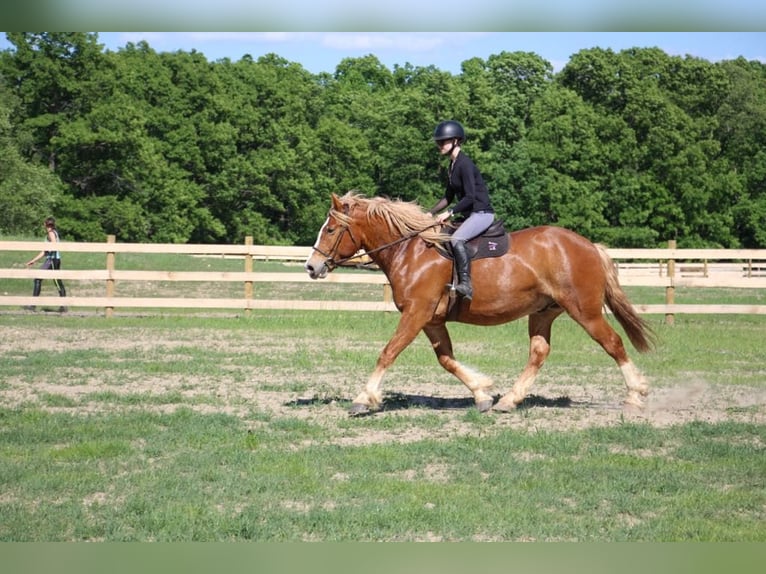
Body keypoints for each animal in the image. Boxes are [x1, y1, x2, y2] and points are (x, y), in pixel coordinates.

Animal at [304, 191, 655, 416]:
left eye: (331, 229)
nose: (311, 267)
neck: (411, 251)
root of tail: (589, 246)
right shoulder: (431, 320)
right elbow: (446, 360)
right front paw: (483, 393)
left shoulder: (416, 314)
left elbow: (388, 353)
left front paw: (364, 398)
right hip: (543, 313)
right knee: (539, 352)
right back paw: (509, 400)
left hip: (585, 311)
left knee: (613, 343)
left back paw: (635, 396)